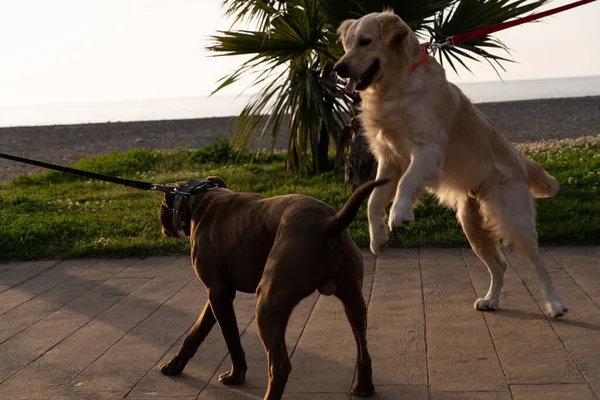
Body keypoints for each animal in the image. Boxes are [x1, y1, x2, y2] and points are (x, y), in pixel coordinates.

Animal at [157, 178, 386, 400]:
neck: (201, 197)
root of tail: (329, 223)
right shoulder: (219, 295)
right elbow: (196, 331)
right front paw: (175, 365)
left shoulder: (218, 294)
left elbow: (231, 340)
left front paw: (235, 376)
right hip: (353, 301)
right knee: (363, 348)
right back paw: (363, 386)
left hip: (267, 304)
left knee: (280, 365)